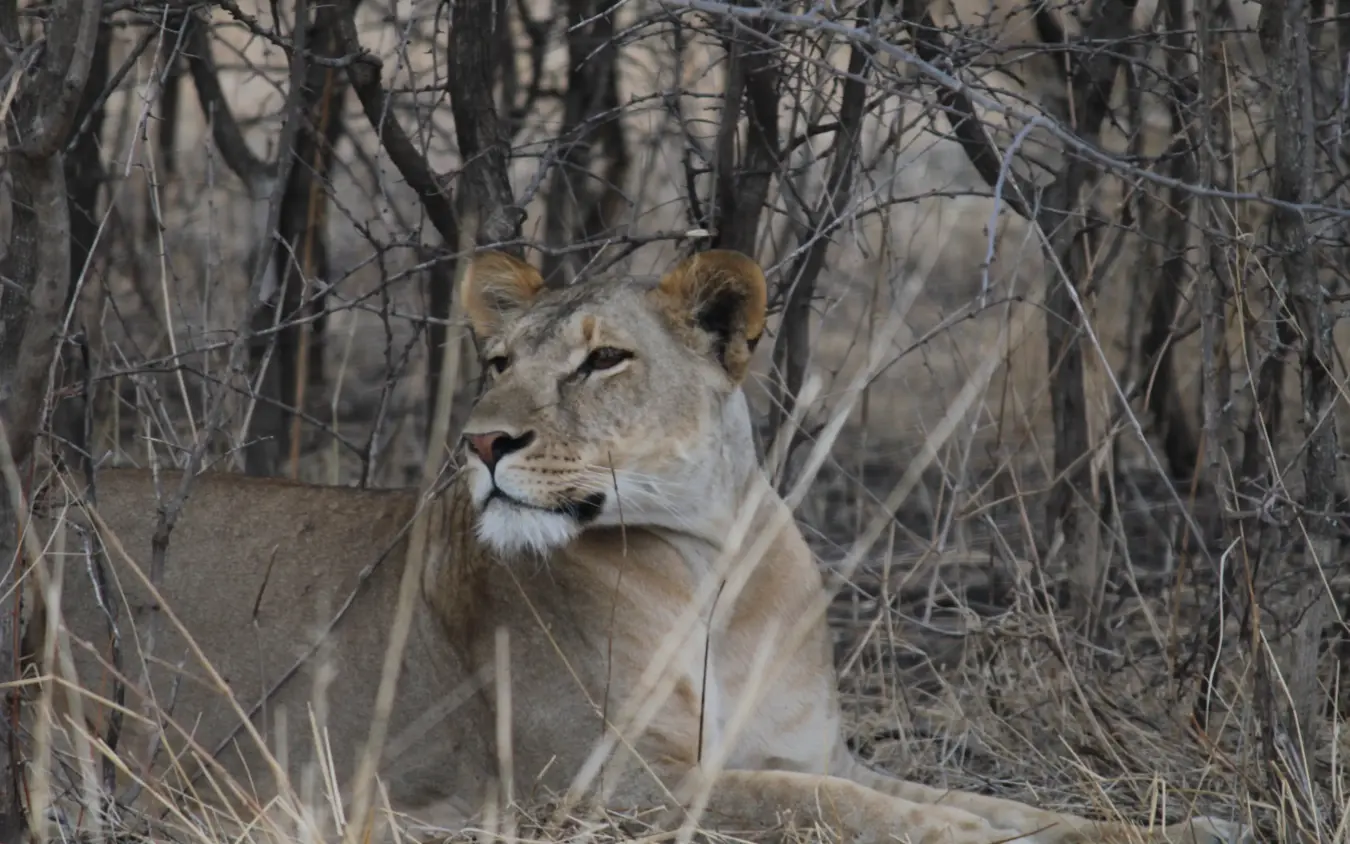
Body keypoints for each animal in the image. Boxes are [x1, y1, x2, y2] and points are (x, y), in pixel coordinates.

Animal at [18, 249, 1249, 844]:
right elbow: (838, 810)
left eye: (602, 359)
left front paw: (1183, 822)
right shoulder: (603, 784)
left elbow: (985, 801)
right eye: (499, 359)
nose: (482, 440)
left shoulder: (812, 747)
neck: (711, 566)